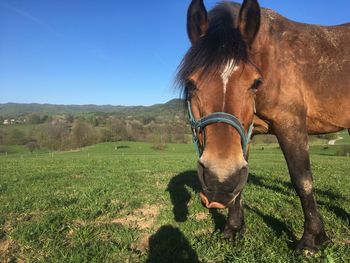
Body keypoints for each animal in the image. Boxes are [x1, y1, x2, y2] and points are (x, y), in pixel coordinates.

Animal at [178, 0, 350, 256]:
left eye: (255, 83)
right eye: (191, 84)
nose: (219, 180)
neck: (270, 60)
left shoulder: (291, 125)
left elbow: (302, 181)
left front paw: (312, 239)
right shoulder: (246, 135)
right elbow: (241, 184)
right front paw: (232, 230)